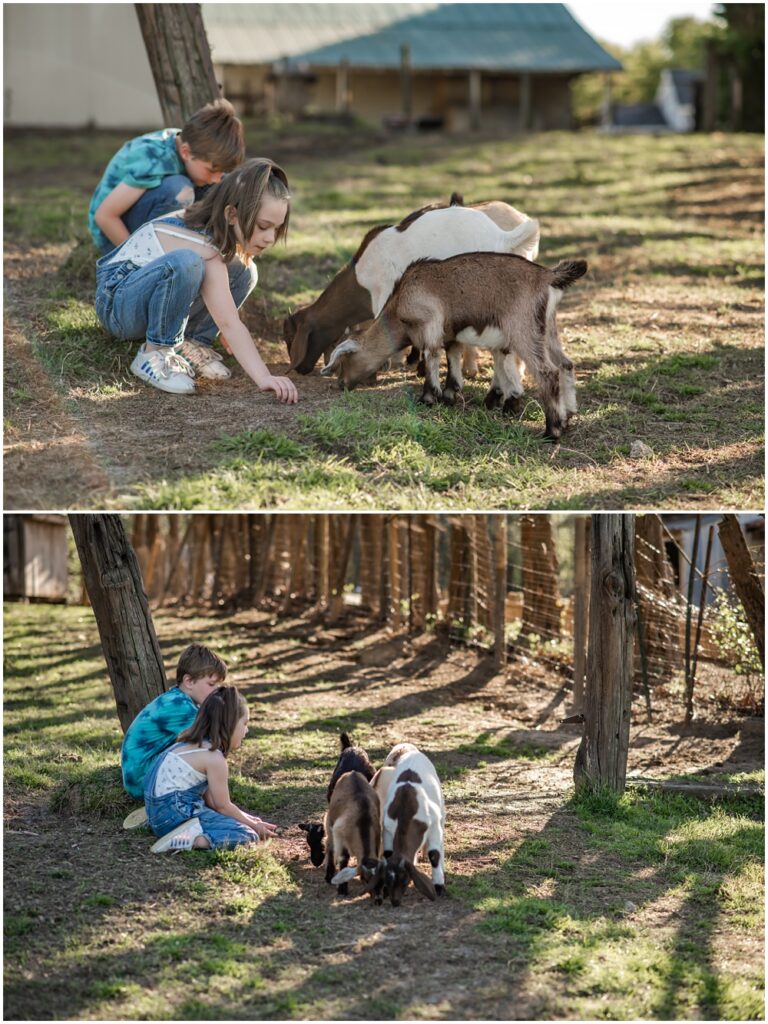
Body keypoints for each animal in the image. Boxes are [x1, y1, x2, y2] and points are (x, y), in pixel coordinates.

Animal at [321, 251, 585, 440]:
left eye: (344, 360)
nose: (340, 384)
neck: (399, 306)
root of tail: (546, 276)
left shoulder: (430, 325)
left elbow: (431, 356)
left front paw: (429, 397)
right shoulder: (450, 332)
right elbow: (452, 355)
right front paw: (450, 393)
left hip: (523, 329)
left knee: (547, 372)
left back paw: (552, 431)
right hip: (547, 331)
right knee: (566, 364)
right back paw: (568, 417)